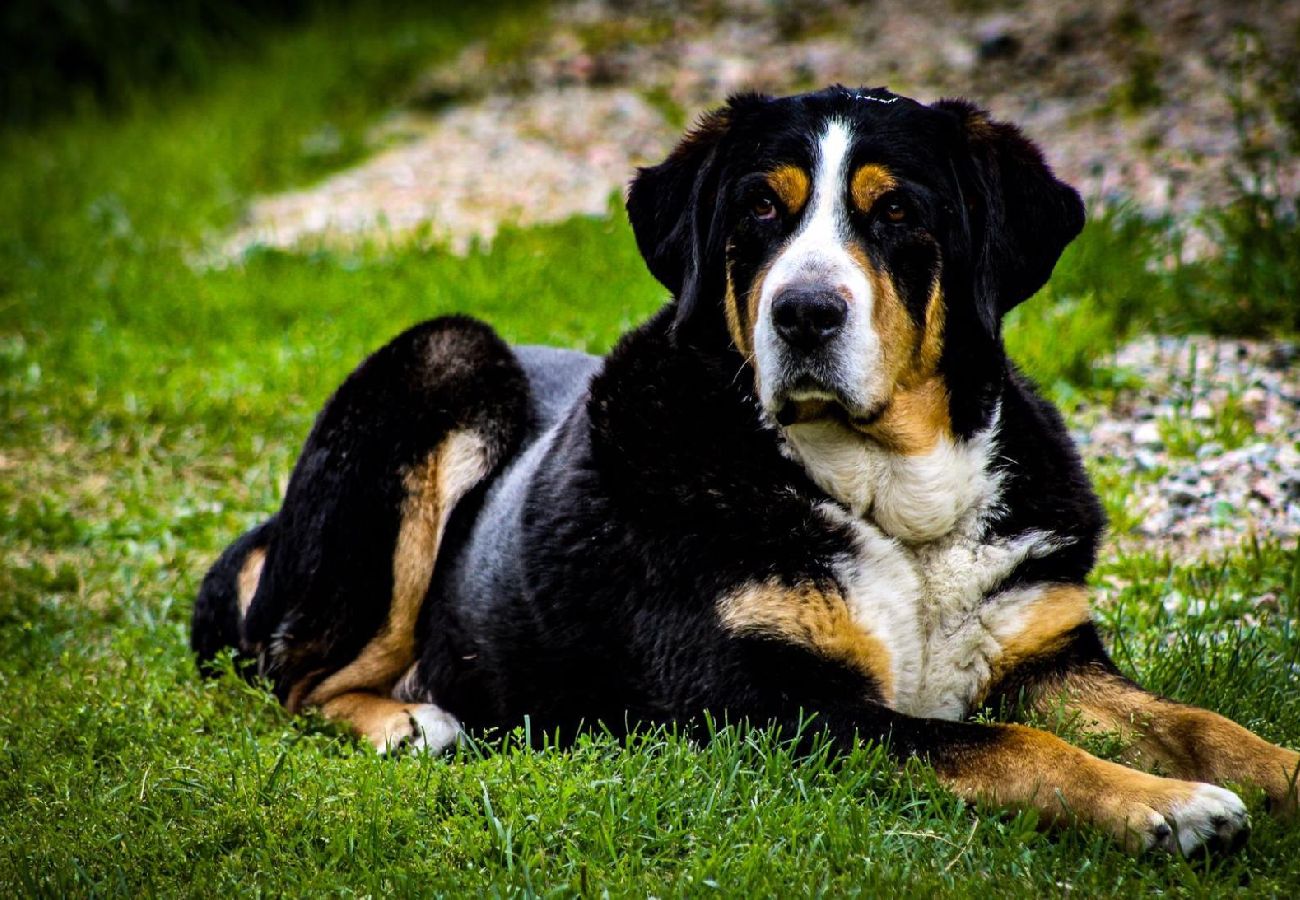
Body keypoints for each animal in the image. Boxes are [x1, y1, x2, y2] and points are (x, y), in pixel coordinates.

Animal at [195, 87, 1300, 853]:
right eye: (760, 210)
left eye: (897, 212)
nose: (804, 312)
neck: (894, 498)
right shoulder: (766, 700)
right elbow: (1002, 746)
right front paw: (1166, 809)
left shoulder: (1043, 655)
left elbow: (1201, 723)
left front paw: (1268, 767)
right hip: (443, 357)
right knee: (296, 679)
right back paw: (407, 723)